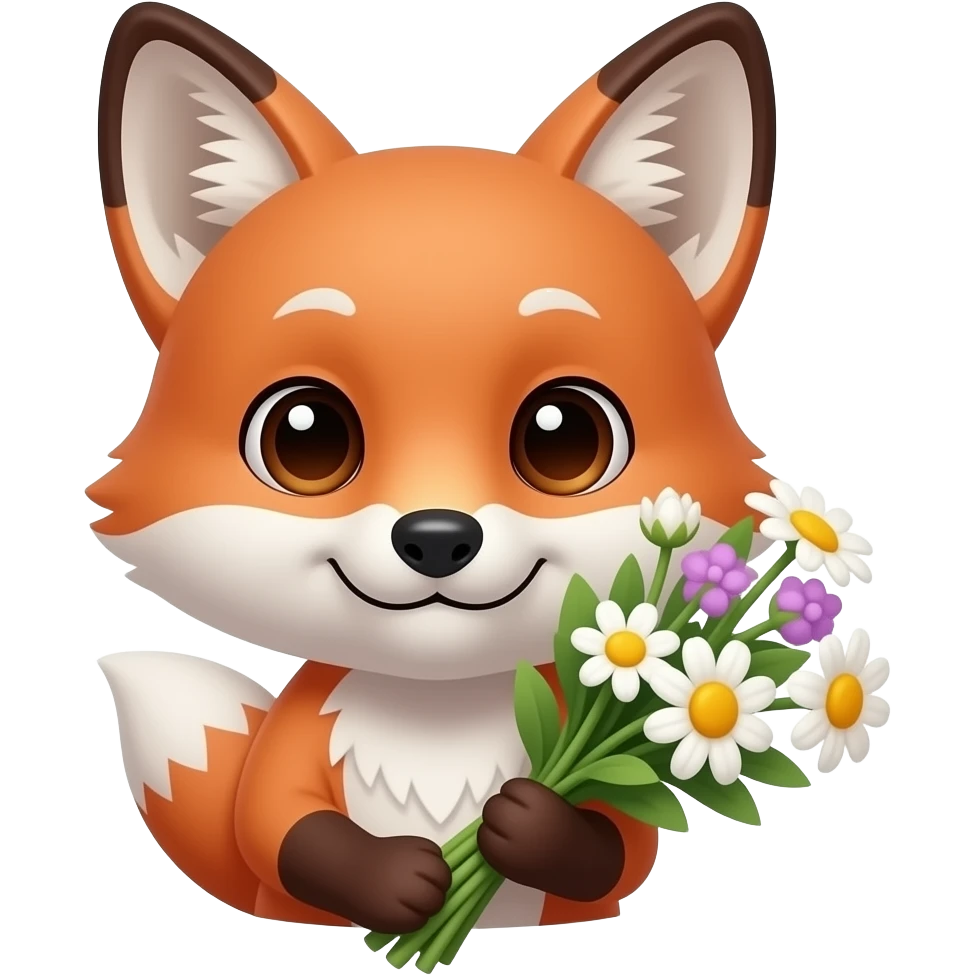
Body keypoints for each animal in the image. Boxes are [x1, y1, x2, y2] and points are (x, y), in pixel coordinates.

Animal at [91, 0, 778, 935]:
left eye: (565, 436)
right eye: (305, 436)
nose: (438, 535)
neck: (434, 711)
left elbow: (614, 842)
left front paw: (525, 824)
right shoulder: (301, 742)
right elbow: (278, 824)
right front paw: (403, 885)